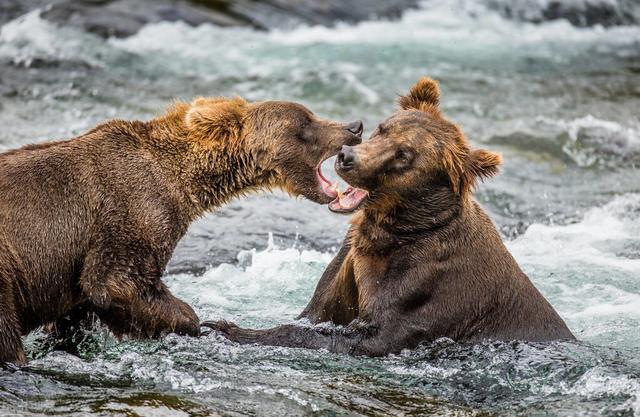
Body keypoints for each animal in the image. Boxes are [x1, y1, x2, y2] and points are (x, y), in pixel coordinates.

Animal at [0, 93, 360, 360]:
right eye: (306, 121)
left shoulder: (77, 261)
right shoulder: (132, 213)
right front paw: (198, 324)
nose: (354, 126)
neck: (184, 182)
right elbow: (116, 282)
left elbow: (76, 316)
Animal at [204, 75, 576, 354]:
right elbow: (315, 312)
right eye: (383, 128)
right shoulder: (352, 261)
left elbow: (362, 336)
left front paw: (226, 327)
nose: (346, 157)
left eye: (404, 155)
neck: (392, 229)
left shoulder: (423, 285)